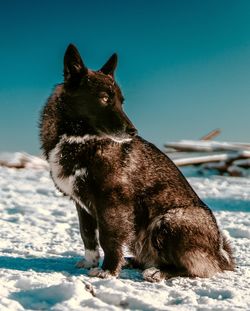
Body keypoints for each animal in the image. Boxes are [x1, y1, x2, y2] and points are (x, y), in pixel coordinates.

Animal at [40, 44, 235, 282]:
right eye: (104, 98)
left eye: (120, 101)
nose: (133, 131)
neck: (78, 139)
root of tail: (220, 254)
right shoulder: (81, 204)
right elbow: (87, 236)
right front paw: (91, 263)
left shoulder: (112, 202)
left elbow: (108, 238)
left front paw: (108, 270)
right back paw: (133, 262)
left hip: (169, 219)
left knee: (195, 268)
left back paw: (158, 271)